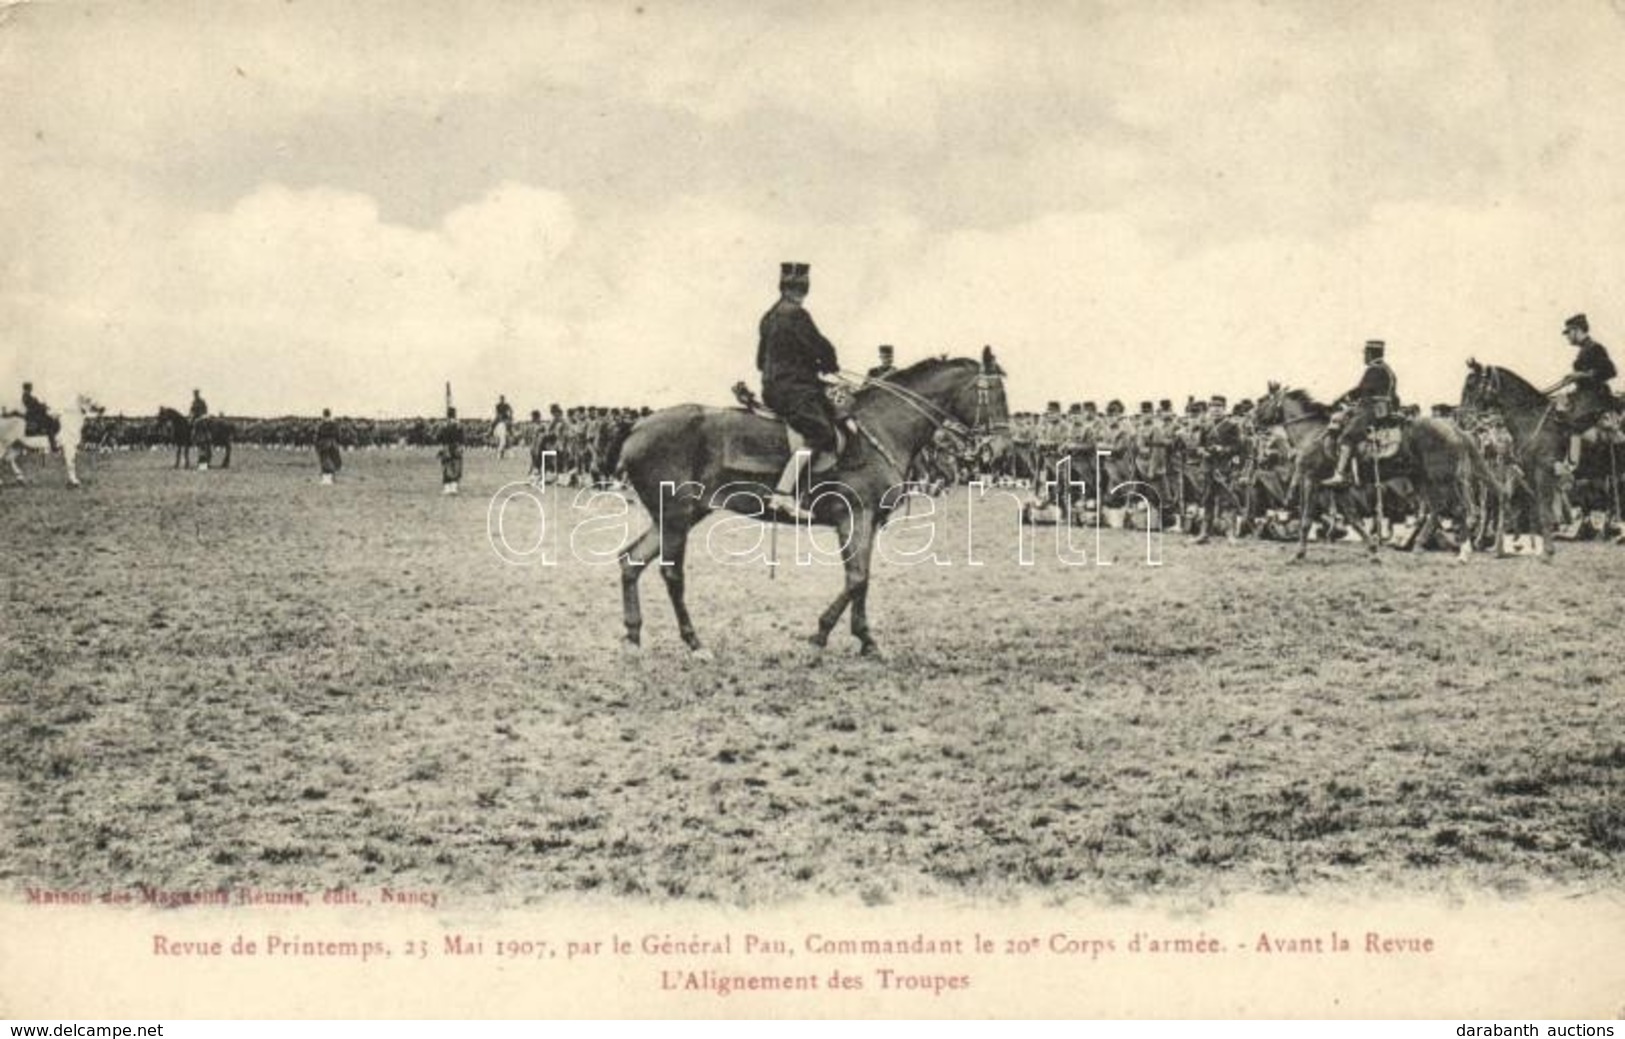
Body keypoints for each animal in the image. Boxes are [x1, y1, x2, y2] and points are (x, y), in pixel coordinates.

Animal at [617, 354, 1007, 653]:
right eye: (995, 393)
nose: (1000, 448)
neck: (880, 428)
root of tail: (637, 428)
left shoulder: (869, 521)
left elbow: (862, 577)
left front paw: (865, 640)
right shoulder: (855, 517)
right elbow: (856, 578)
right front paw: (821, 635)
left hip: (679, 515)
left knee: (630, 560)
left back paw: (634, 636)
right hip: (676, 516)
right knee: (672, 574)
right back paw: (694, 643)